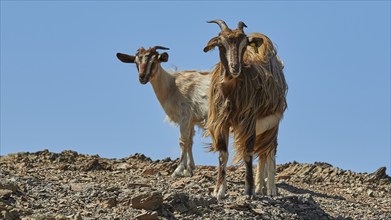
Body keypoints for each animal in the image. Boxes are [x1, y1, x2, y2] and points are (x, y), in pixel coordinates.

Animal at [205, 19, 288, 200]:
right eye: (221, 44)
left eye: (243, 45)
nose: (235, 67)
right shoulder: (221, 121)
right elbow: (223, 154)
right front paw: (219, 190)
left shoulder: (248, 120)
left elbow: (248, 153)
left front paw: (249, 192)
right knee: (262, 153)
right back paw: (260, 186)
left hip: (273, 123)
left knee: (270, 150)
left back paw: (270, 189)